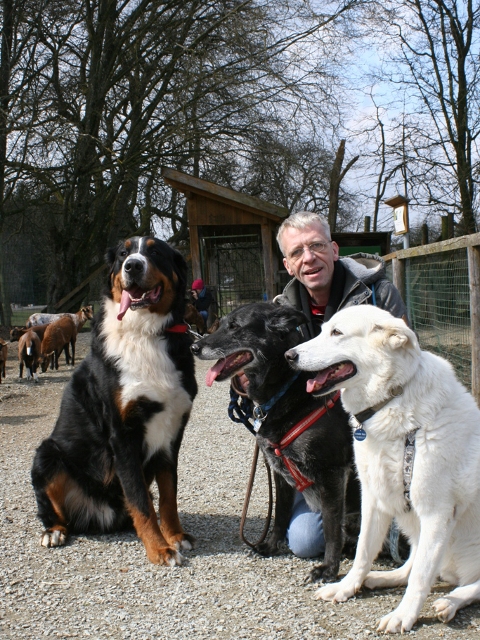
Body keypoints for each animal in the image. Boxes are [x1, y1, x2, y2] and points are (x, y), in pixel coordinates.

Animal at [31, 236, 197, 564]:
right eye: (123, 253)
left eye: (155, 251)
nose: (132, 266)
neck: (144, 333)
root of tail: (97, 515)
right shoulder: (123, 435)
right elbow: (141, 501)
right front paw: (159, 548)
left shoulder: (171, 433)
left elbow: (168, 496)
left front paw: (175, 535)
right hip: (47, 453)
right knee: (54, 511)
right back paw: (53, 531)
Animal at [189, 302, 358, 584]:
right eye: (220, 324)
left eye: (235, 326)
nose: (193, 347)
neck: (286, 389)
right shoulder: (280, 474)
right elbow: (280, 513)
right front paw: (270, 547)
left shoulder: (332, 474)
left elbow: (333, 529)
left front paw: (328, 569)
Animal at [284, 306, 480, 636]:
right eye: (322, 330)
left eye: (337, 333)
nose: (289, 355)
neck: (393, 400)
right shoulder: (374, 499)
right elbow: (363, 552)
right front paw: (347, 586)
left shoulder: (436, 513)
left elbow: (420, 580)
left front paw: (404, 616)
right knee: (410, 568)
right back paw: (378, 579)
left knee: (466, 585)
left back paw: (450, 601)